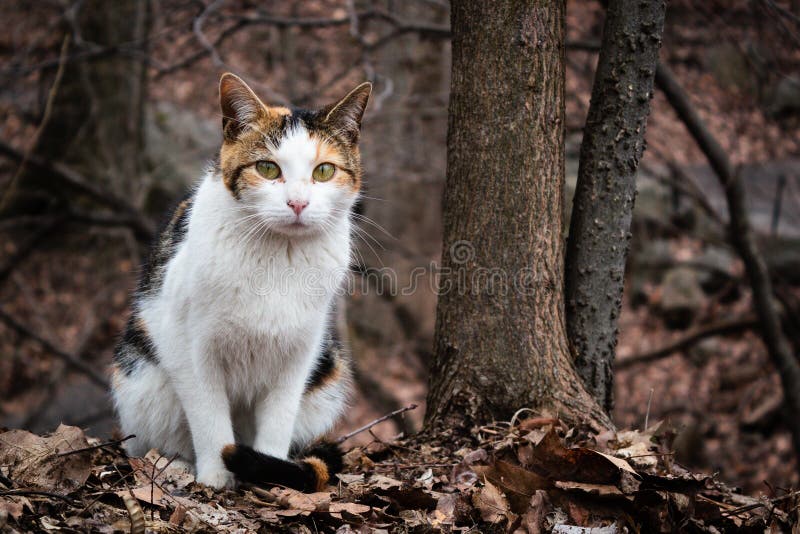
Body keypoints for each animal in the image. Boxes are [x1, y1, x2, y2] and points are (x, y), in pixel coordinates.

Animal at [110, 73, 372, 492]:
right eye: (267, 169)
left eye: (323, 172)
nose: (298, 203)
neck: (279, 257)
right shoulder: (188, 345)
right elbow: (208, 415)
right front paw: (216, 476)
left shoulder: (300, 349)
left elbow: (279, 417)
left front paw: (269, 472)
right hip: (138, 379)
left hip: (329, 369)